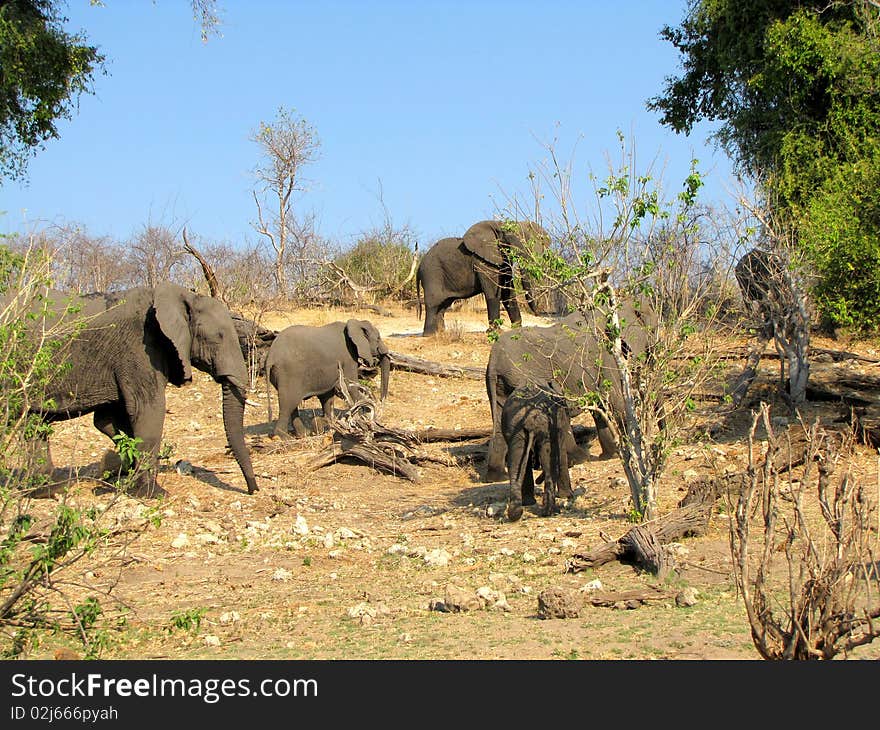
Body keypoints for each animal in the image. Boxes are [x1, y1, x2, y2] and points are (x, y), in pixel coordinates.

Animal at [24, 282, 258, 498]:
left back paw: (46, 491)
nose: (253, 490)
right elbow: (147, 411)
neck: (181, 295)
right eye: (219, 336)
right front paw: (153, 493)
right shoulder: (139, 348)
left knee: (34, 424)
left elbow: (108, 420)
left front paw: (118, 472)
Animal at [414, 219, 552, 336]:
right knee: (434, 303)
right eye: (508, 240)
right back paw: (430, 335)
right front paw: (494, 331)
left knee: (443, 305)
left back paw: (441, 333)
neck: (497, 224)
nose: (538, 313)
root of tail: (419, 267)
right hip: (432, 274)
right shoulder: (483, 262)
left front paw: (517, 328)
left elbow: (508, 292)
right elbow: (493, 293)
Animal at [482, 298, 660, 480]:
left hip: (503, 385)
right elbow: (615, 400)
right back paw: (579, 459)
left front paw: (611, 455)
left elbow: (601, 406)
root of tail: (494, 361)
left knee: (501, 420)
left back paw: (497, 477)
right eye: (653, 330)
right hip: (527, 378)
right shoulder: (608, 356)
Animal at [498, 382, 576, 516]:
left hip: (517, 430)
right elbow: (561, 454)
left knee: (518, 461)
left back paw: (522, 510)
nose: (538, 481)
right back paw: (549, 511)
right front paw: (567, 496)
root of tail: (531, 419)